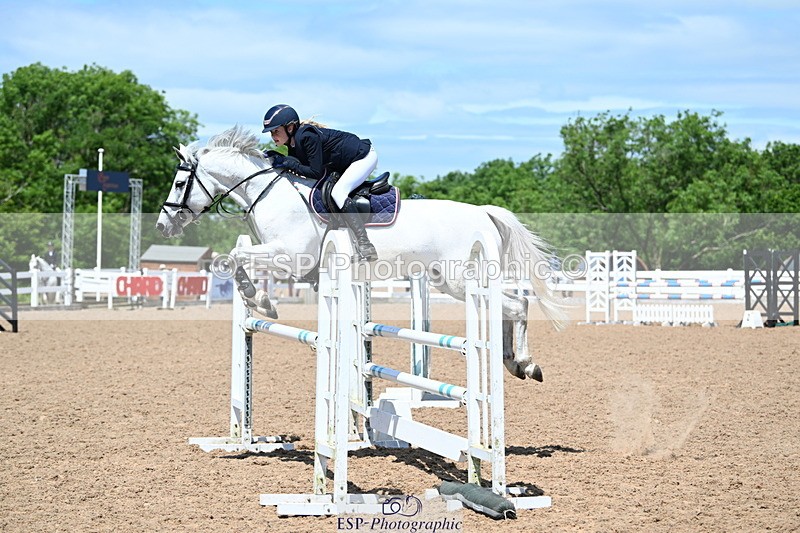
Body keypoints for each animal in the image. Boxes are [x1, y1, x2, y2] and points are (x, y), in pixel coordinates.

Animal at [156, 126, 568, 382]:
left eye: (179, 182)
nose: (162, 225)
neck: (268, 193)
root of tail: (484, 211)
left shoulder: (289, 256)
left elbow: (231, 258)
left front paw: (260, 301)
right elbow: (234, 258)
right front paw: (258, 299)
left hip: (459, 278)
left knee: (516, 305)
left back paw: (526, 362)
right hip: (449, 281)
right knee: (509, 305)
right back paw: (513, 362)